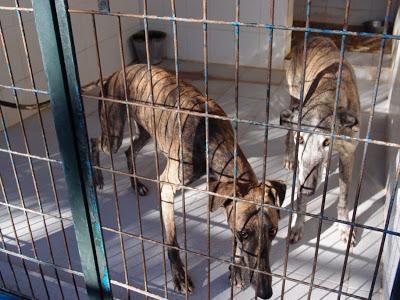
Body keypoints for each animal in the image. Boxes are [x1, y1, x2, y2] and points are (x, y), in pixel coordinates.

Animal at [91, 63, 284, 298]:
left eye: (273, 231)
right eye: (244, 233)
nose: (266, 292)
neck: (211, 138)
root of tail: (117, 72)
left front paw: (236, 269)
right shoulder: (167, 187)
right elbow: (172, 241)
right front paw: (180, 277)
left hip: (144, 131)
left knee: (129, 151)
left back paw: (135, 183)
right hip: (113, 134)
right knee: (95, 142)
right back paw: (96, 176)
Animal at [280, 35, 360, 246]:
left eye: (326, 142)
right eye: (300, 139)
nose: (308, 189)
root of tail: (316, 36)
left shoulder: (348, 154)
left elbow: (343, 198)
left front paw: (345, 228)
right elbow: (299, 200)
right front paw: (297, 226)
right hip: (294, 96)